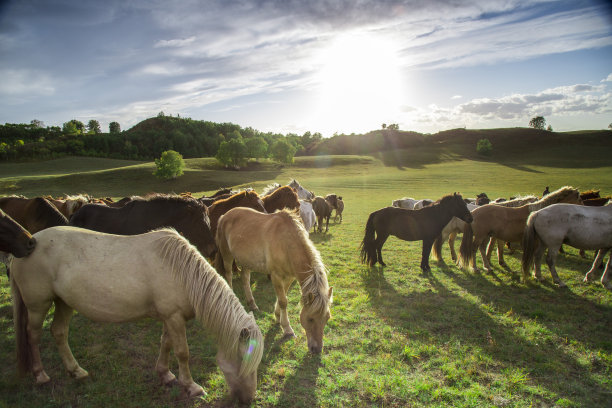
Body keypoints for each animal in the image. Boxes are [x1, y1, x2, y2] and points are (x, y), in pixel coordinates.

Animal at [10, 226, 262, 404]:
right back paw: (40, 375)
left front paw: (165, 374)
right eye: (243, 360)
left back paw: (76, 371)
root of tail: (28, 244)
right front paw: (191, 386)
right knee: (33, 336)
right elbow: (182, 353)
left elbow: (165, 344)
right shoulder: (174, 318)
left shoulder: (170, 317)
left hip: (63, 303)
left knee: (59, 332)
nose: (248, 399)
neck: (181, 272)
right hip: (38, 306)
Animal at [216, 207, 334, 354]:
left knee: (245, 279)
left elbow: (282, 298)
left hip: (246, 261)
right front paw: (287, 329)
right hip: (227, 255)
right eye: (310, 319)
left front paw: (278, 317)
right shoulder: (276, 276)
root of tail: (224, 216)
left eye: (327, 318)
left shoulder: (289, 277)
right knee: (228, 275)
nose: (317, 350)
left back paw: (252, 304)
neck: (286, 243)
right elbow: (283, 301)